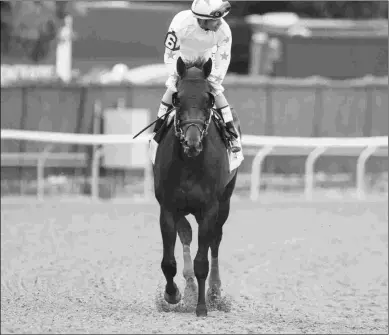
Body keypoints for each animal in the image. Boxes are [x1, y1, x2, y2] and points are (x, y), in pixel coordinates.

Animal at [152, 55, 239, 318]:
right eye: (177, 98)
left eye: (209, 99)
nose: (192, 142)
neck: (191, 163)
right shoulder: (168, 208)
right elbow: (168, 262)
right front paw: (173, 294)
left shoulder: (210, 209)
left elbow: (203, 261)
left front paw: (202, 307)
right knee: (187, 235)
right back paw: (190, 288)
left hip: (224, 203)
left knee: (215, 241)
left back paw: (214, 291)